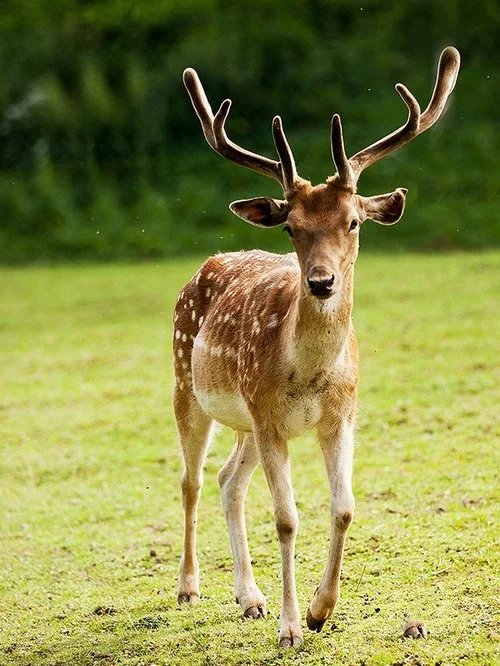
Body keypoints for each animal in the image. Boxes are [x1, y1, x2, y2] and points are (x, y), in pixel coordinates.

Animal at [173, 48, 460, 648]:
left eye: (353, 222)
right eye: (291, 228)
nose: (322, 282)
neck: (307, 374)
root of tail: (205, 266)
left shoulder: (339, 414)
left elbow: (344, 507)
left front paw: (319, 611)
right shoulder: (269, 417)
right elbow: (286, 519)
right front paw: (290, 628)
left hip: (247, 423)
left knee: (228, 481)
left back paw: (250, 598)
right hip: (187, 383)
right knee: (191, 480)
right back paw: (189, 588)